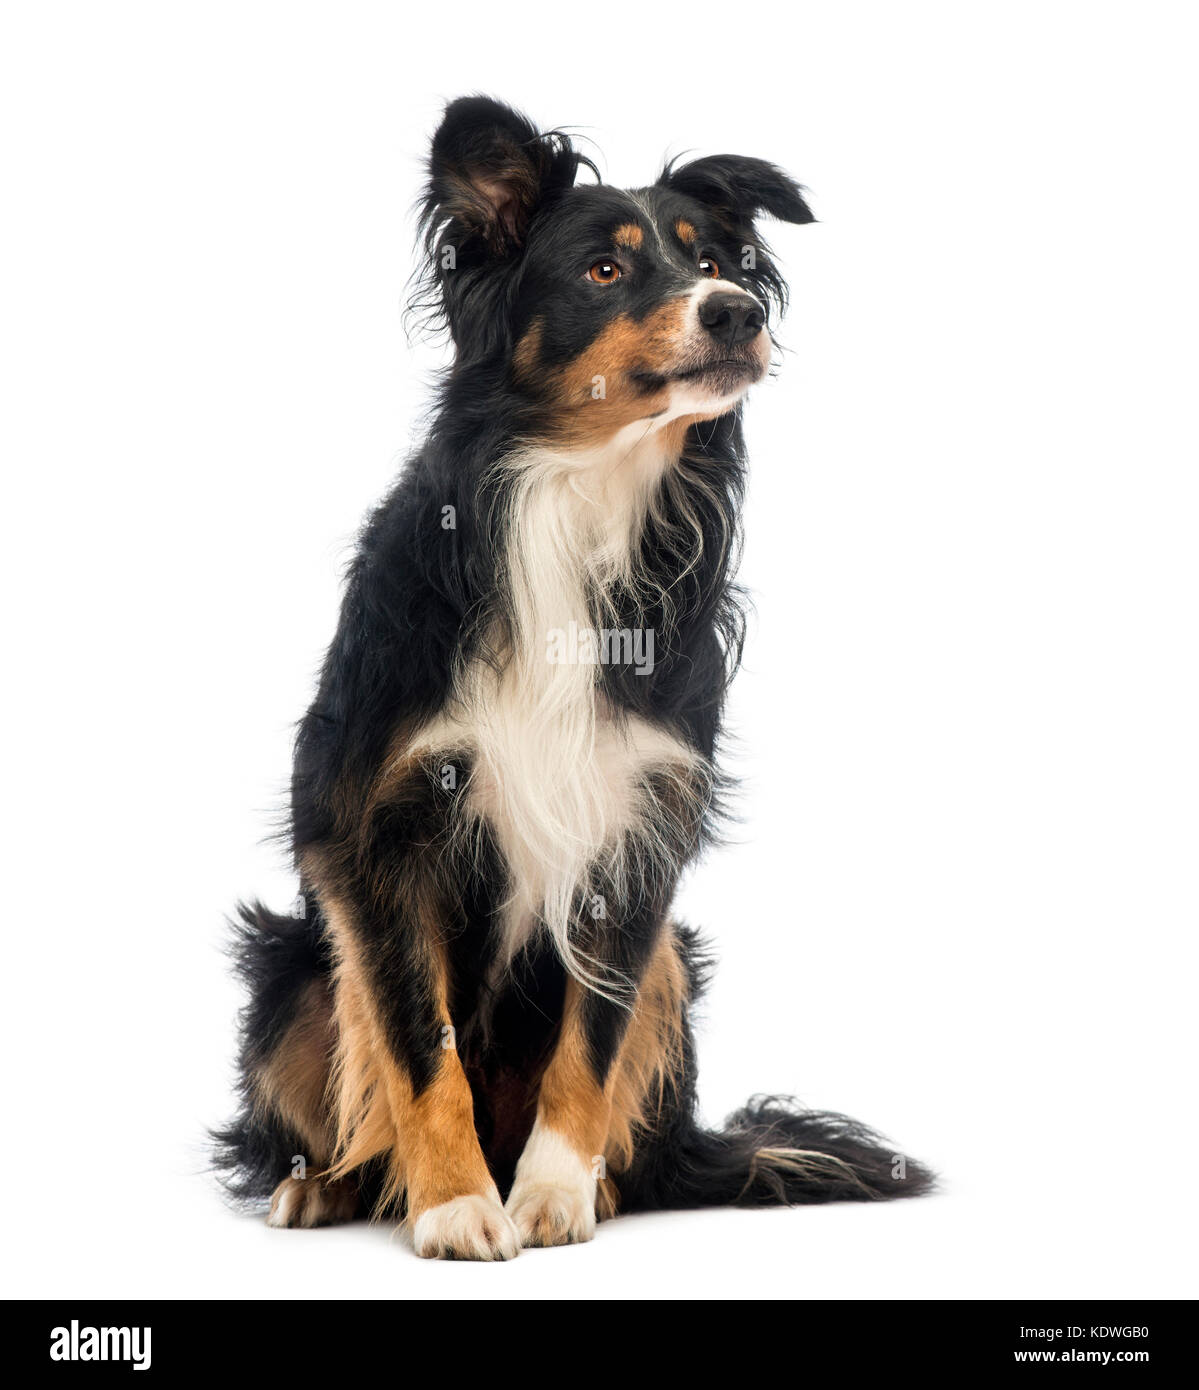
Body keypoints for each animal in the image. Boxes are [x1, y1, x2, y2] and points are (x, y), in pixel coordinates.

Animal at [215, 92, 939, 1256]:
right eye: (605, 269)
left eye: (714, 259)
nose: (737, 311)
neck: (579, 490)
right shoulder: (372, 825)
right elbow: (415, 1040)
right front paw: (458, 1203)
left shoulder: (637, 827)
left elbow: (589, 1040)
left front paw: (550, 1192)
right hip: (289, 965)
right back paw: (331, 1184)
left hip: (677, 962)